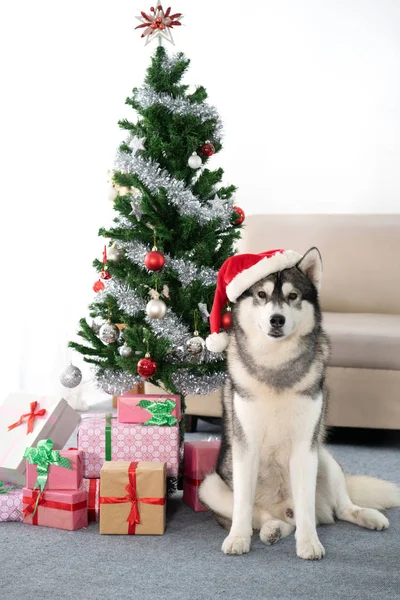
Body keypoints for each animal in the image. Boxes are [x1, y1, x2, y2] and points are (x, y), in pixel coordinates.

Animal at [202, 247, 400, 556]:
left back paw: (367, 515)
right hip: (211, 486)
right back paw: (271, 528)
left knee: (339, 508)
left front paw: (309, 543)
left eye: (293, 296)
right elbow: (243, 505)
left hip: (324, 457)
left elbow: (305, 505)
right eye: (261, 294)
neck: (276, 366)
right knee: (266, 517)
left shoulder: (305, 447)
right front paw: (238, 538)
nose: (277, 319)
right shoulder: (245, 448)